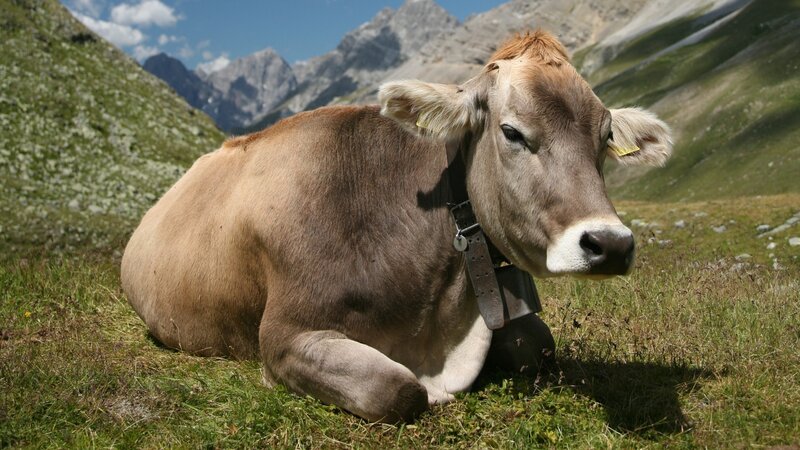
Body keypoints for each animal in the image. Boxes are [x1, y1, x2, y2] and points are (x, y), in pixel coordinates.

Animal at [121, 31, 672, 423]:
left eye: (605, 137)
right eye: (512, 131)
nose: (610, 244)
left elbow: (539, 345)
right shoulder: (284, 336)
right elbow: (398, 390)